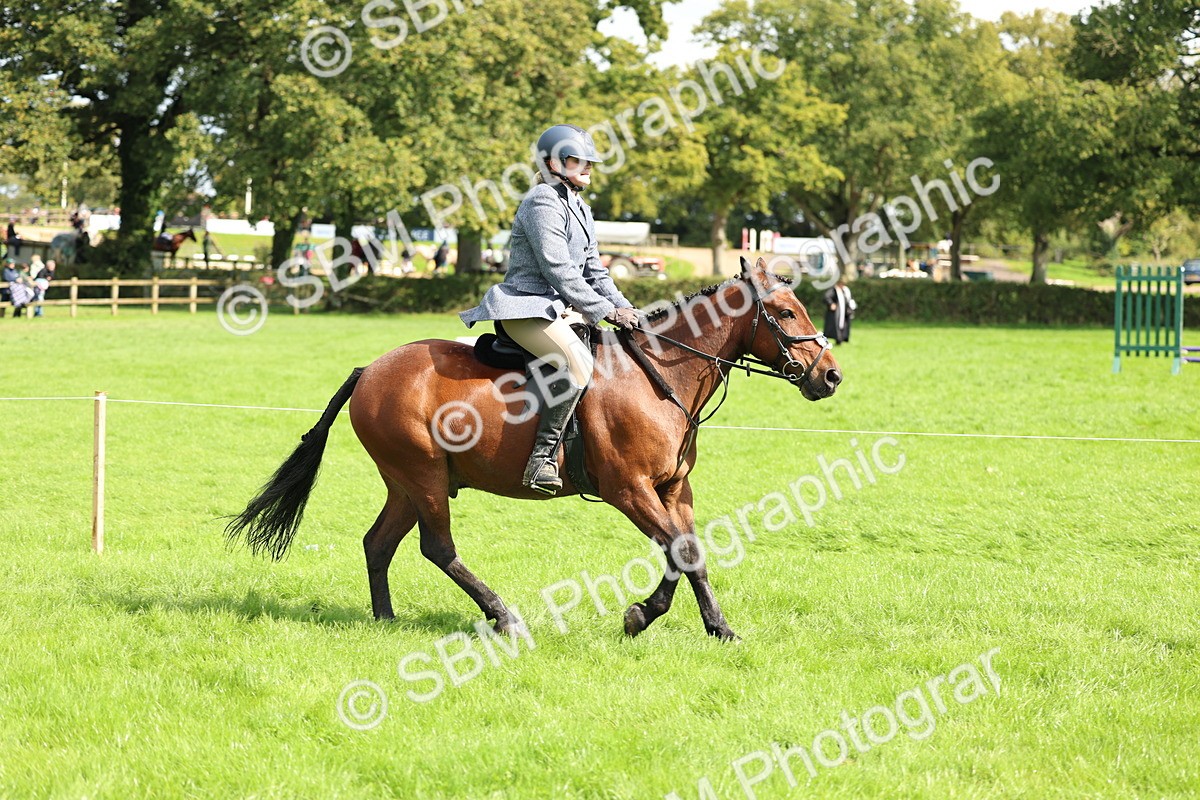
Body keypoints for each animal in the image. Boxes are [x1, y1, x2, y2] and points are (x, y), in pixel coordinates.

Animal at [225, 257, 842, 640]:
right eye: (785, 313)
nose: (831, 376)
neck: (659, 376)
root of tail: (369, 370)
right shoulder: (629, 490)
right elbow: (677, 551)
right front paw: (640, 616)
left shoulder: (673, 490)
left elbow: (693, 552)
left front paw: (719, 628)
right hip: (423, 475)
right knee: (437, 548)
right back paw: (504, 618)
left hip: (407, 481)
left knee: (379, 544)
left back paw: (386, 619)